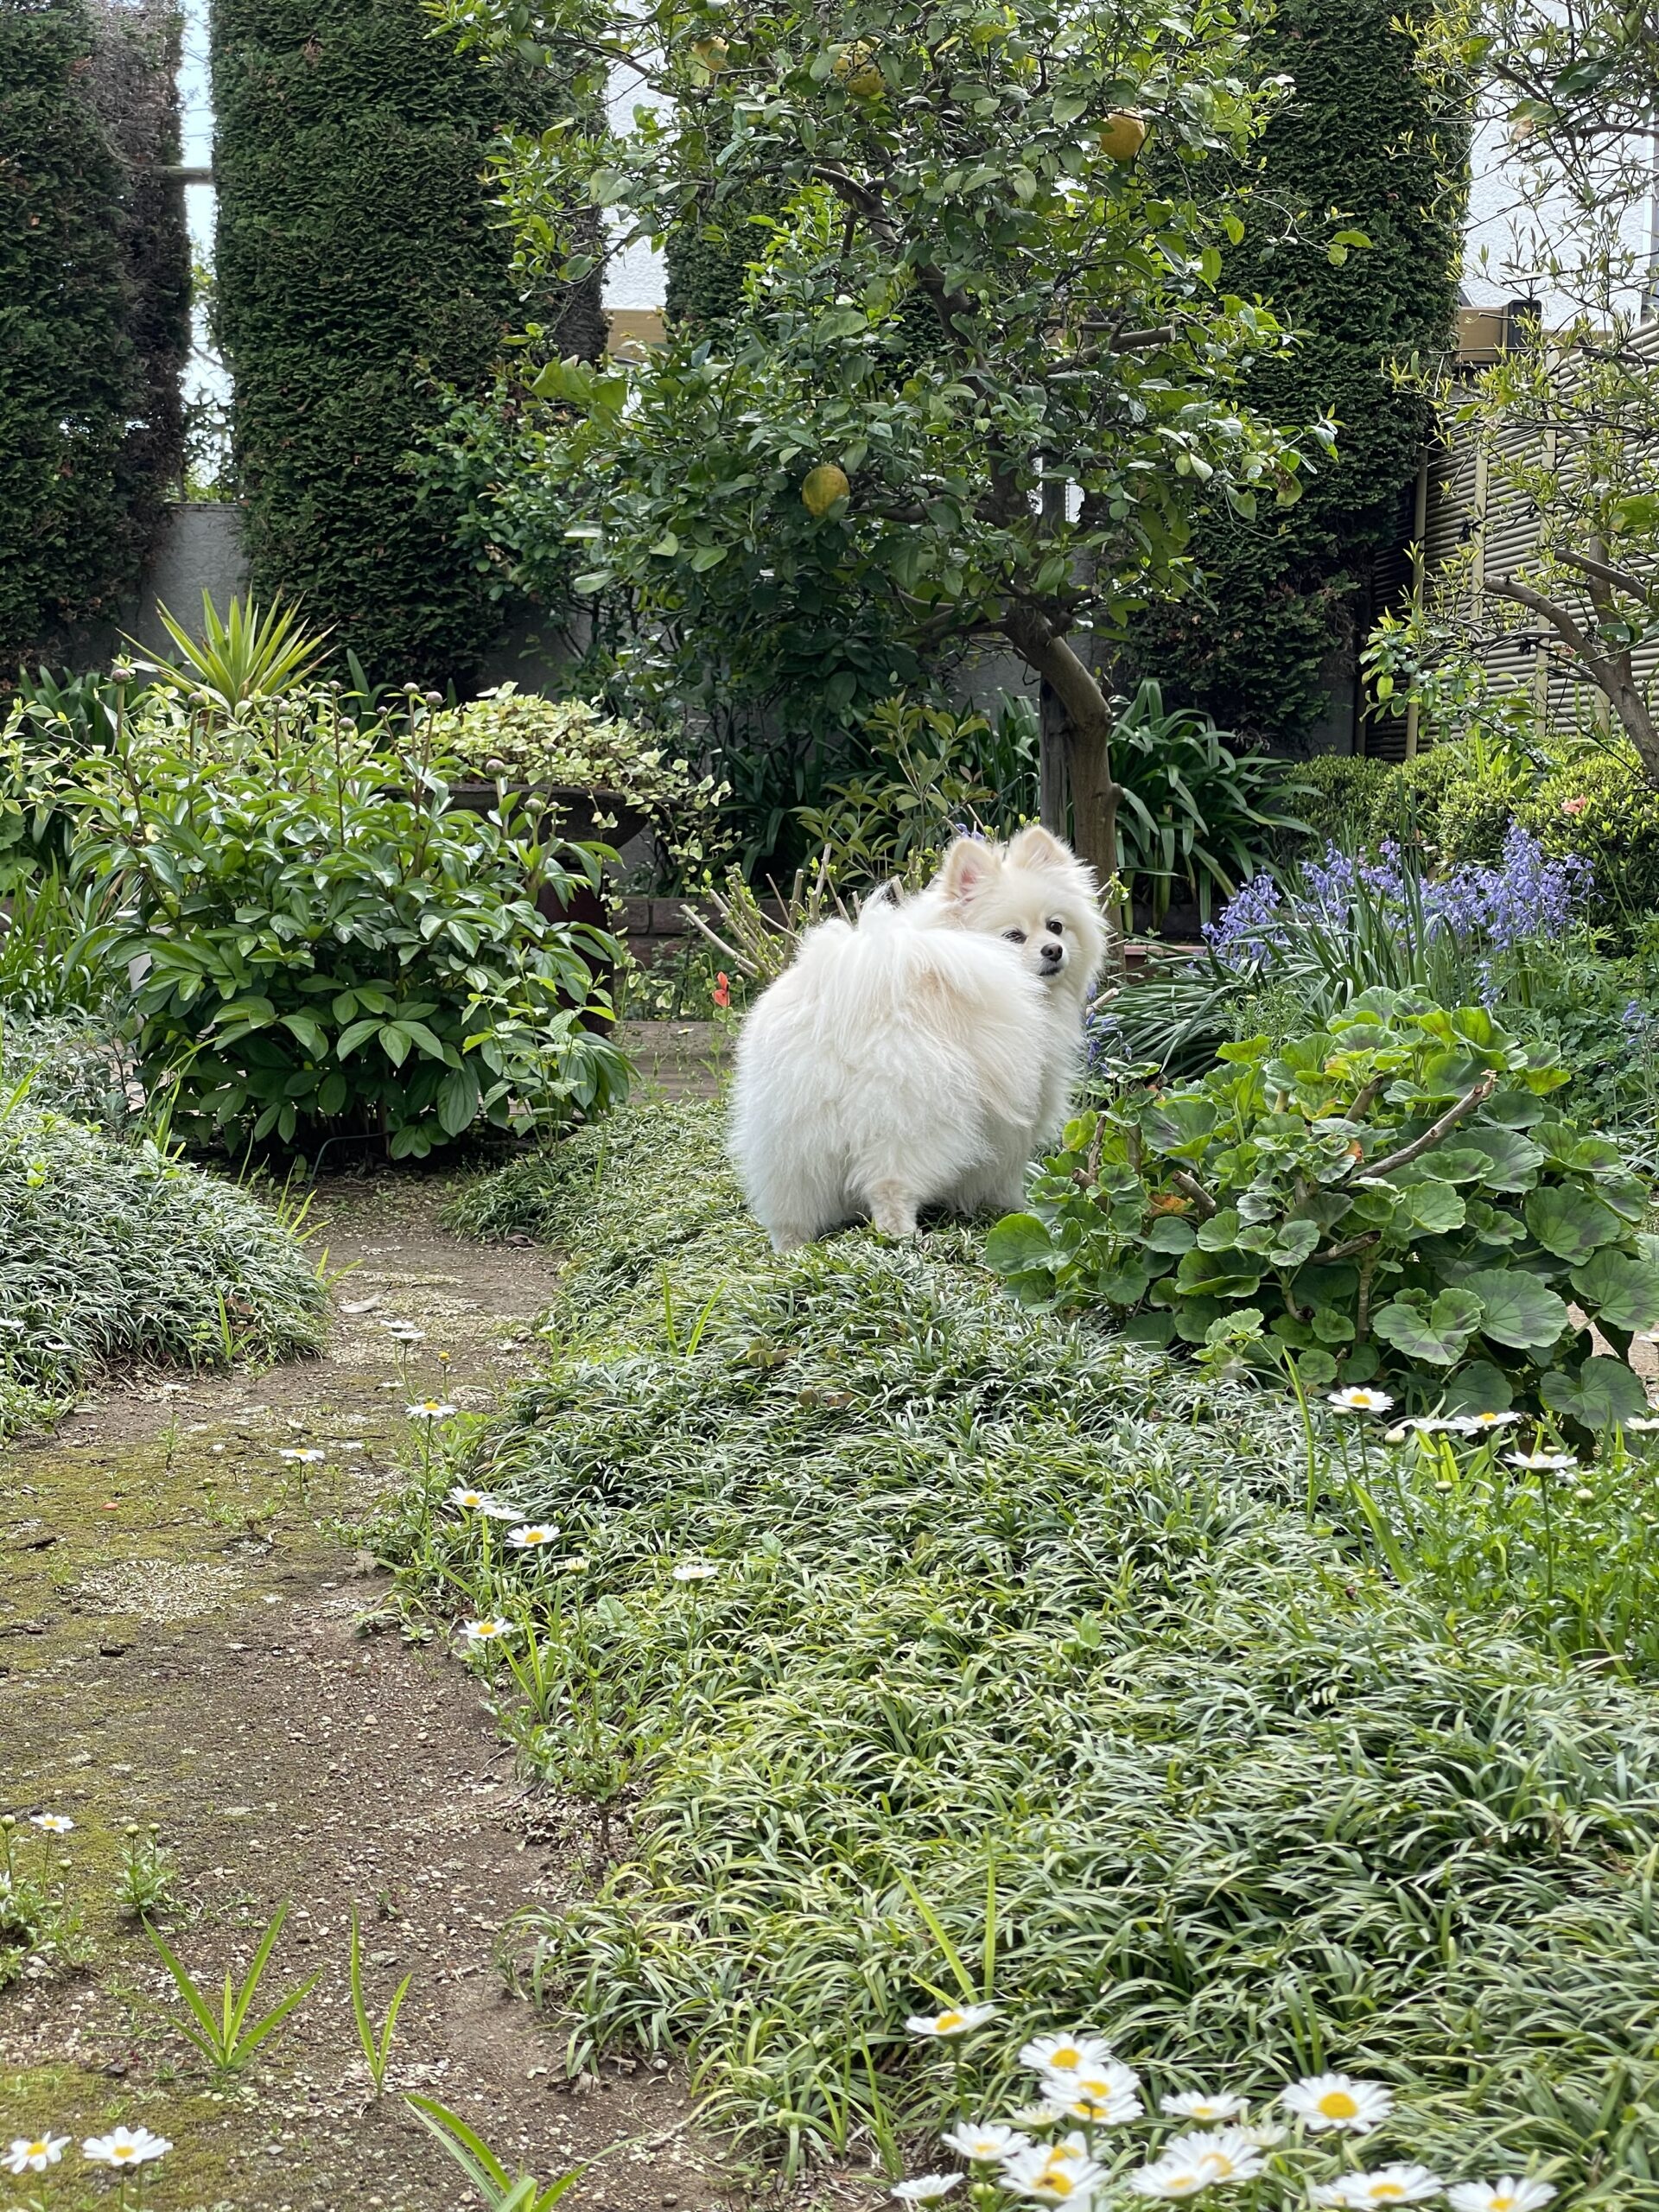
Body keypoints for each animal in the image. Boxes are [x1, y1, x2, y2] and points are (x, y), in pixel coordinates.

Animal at [734, 827, 1110, 1256]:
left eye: (1056, 926)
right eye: (1014, 936)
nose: (1053, 950)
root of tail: (840, 1016)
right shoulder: (1013, 1119)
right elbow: (1004, 1173)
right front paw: (1011, 1210)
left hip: (793, 1133)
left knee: (792, 1198)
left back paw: (791, 1247)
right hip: (918, 1121)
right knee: (889, 1183)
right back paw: (903, 1236)